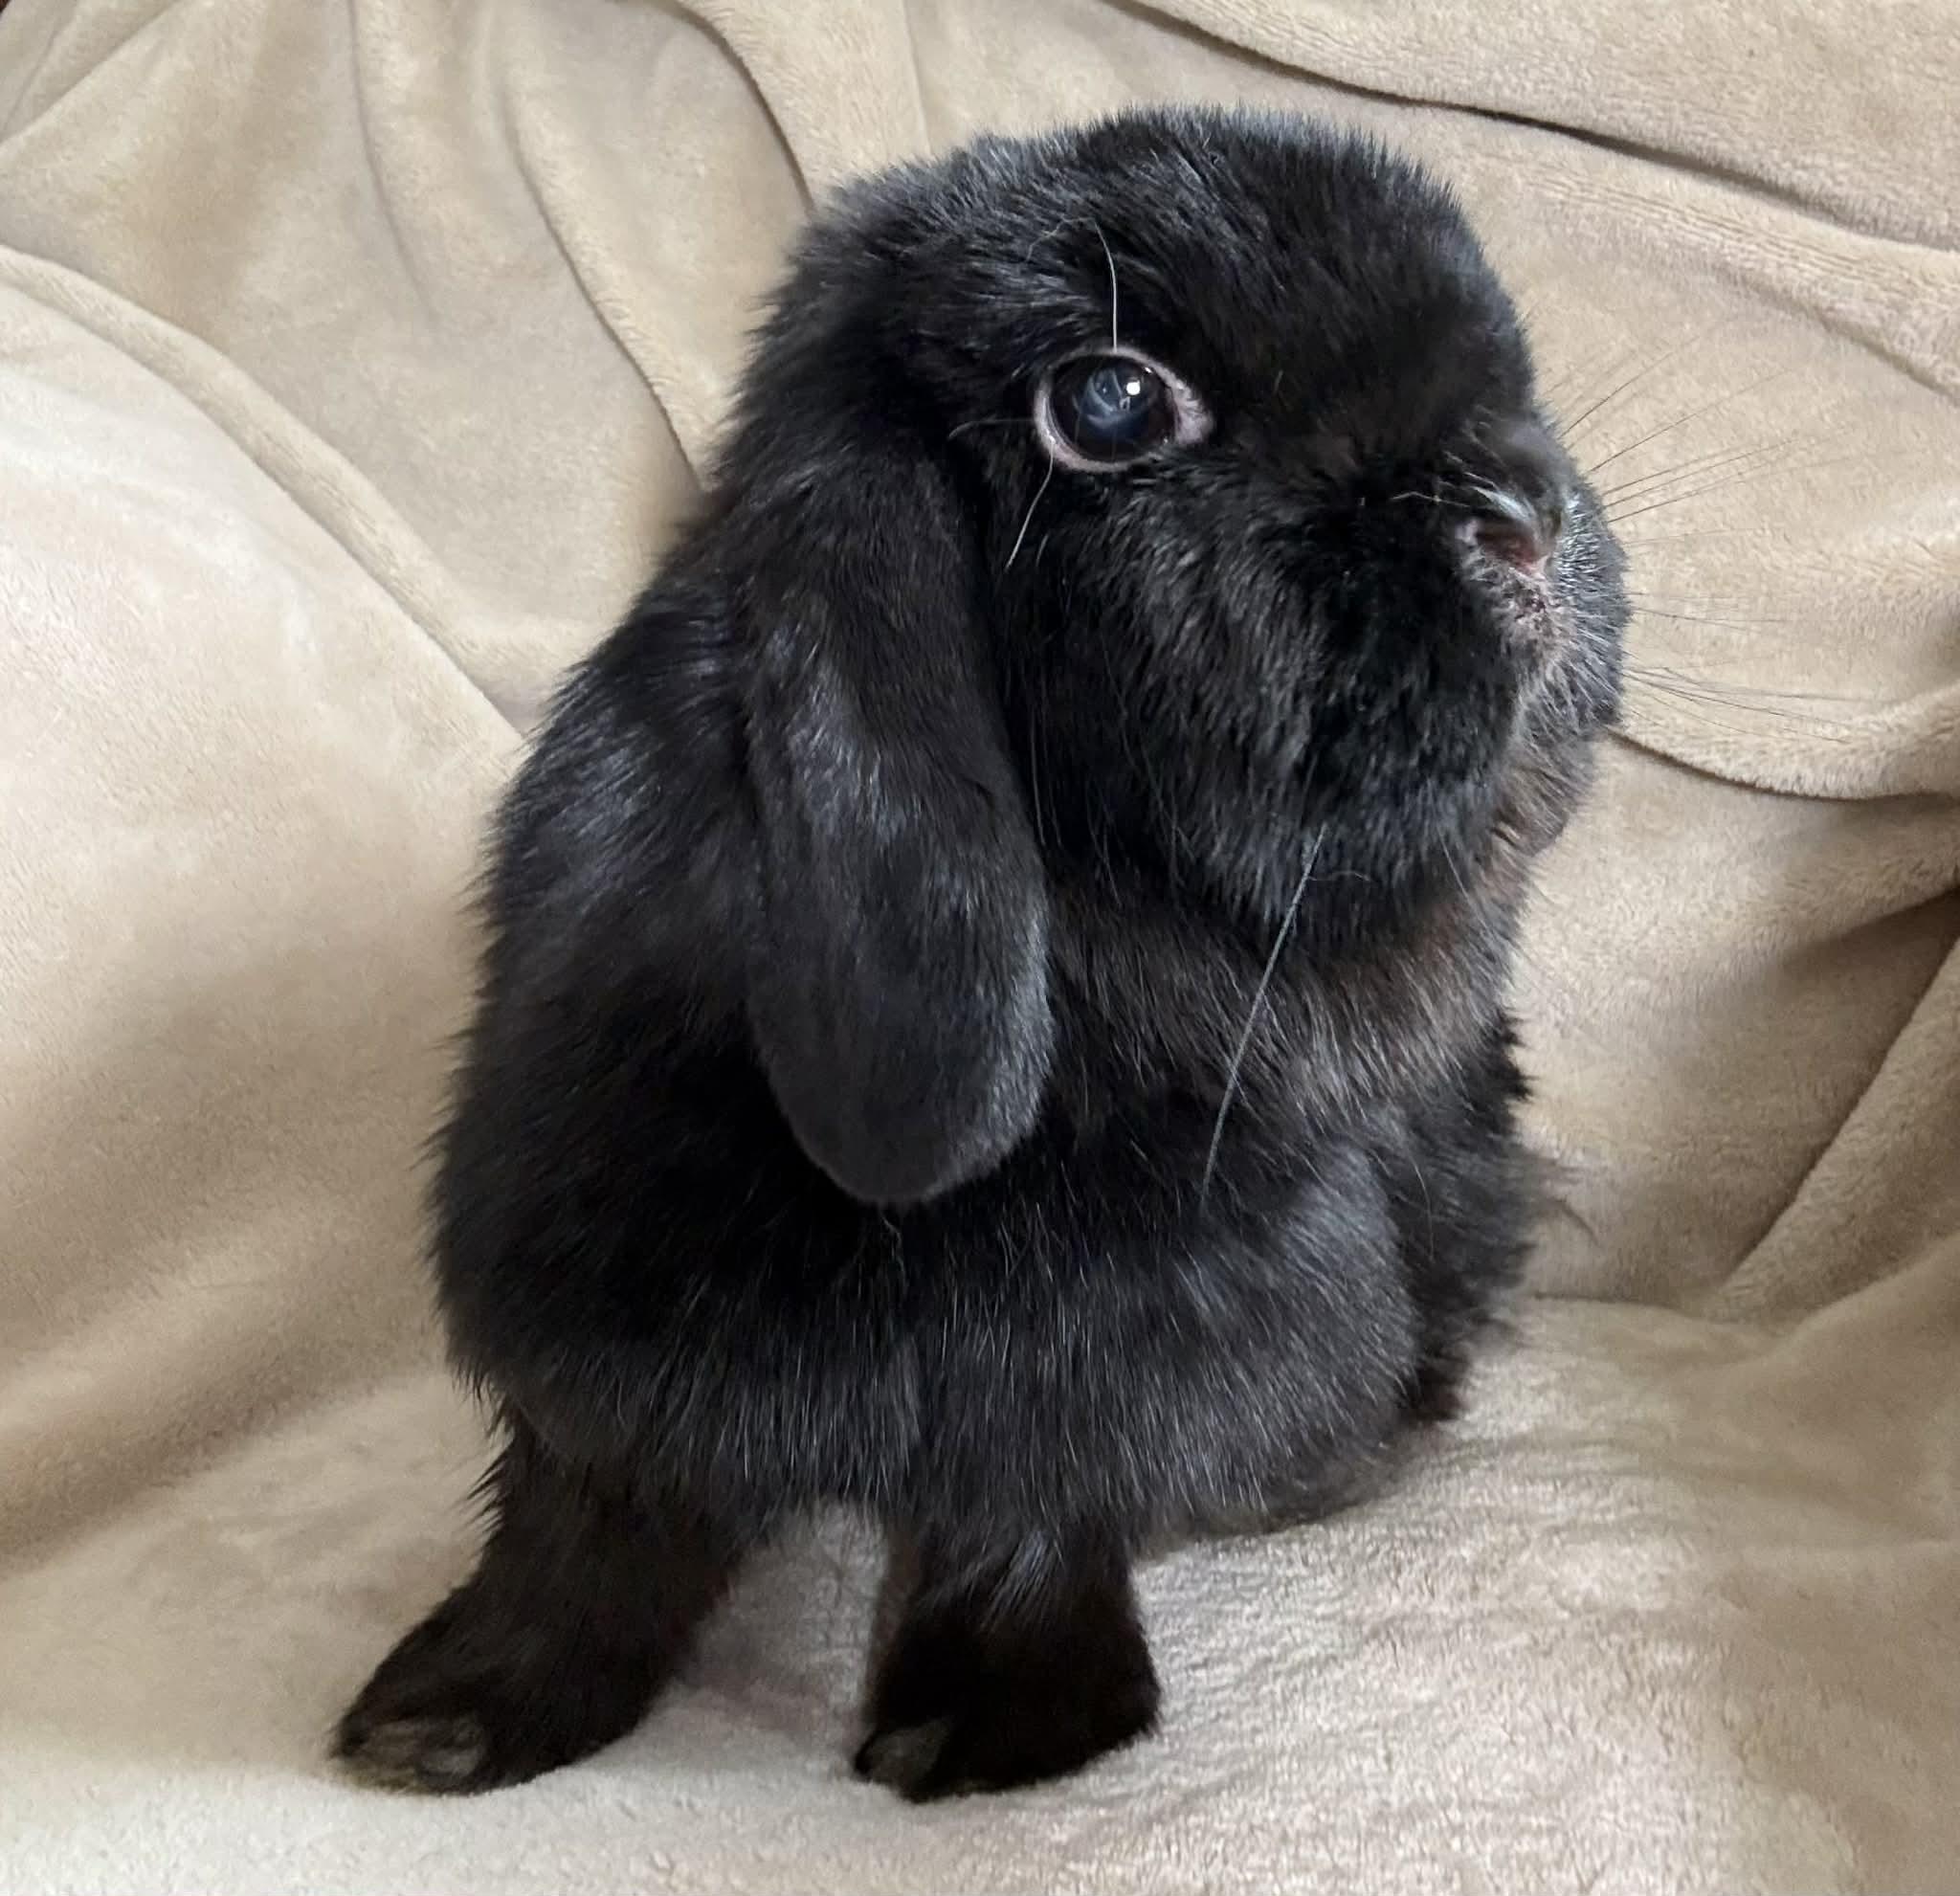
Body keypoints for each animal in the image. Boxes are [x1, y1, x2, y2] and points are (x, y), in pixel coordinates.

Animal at [332, 104, 1627, 1803]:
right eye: (1110, 399)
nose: (1529, 517)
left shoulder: (1100, 1367)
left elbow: (1019, 1518)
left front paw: (996, 1730)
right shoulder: (596, 1333)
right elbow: (589, 1528)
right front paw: (448, 1718)